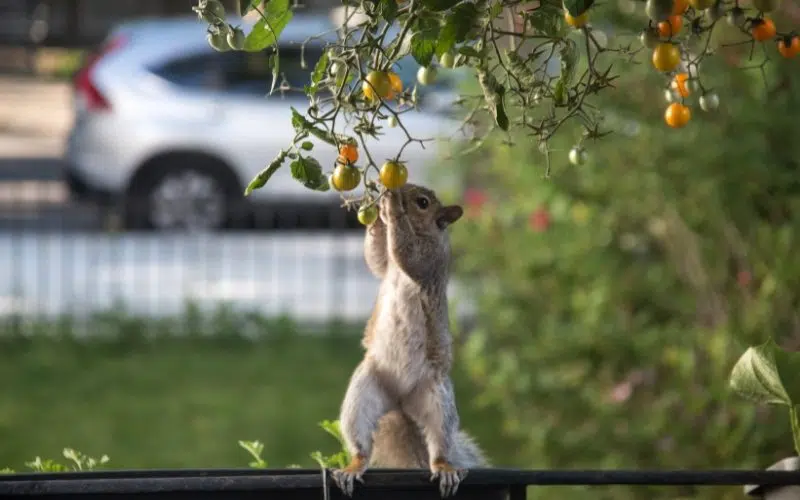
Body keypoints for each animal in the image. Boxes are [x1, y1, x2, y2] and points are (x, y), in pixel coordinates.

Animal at [332, 185, 488, 500]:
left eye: (423, 203)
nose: (391, 192)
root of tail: (401, 403)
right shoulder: (385, 264)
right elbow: (376, 259)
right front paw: (375, 215)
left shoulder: (430, 259)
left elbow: (408, 255)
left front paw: (391, 208)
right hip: (364, 392)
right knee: (360, 442)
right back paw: (353, 467)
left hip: (438, 401)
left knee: (439, 445)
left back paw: (444, 468)